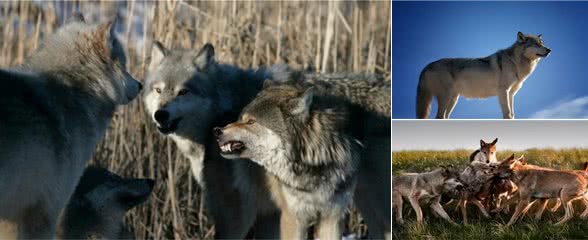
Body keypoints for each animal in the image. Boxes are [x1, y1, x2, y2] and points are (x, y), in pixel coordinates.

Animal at [215, 73, 390, 240]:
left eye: (251, 122)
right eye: (241, 118)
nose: (217, 131)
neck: (316, 161)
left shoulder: (332, 217)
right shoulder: (293, 218)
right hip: (241, 222)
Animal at [418, 31, 552, 118]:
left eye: (542, 43)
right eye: (536, 44)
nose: (549, 50)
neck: (514, 61)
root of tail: (426, 66)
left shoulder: (511, 94)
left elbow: (513, 114)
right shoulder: (503, 91)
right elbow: (508, 114)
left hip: (453, 99)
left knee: (444, 117)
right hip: (446, 98)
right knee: (439, 117)